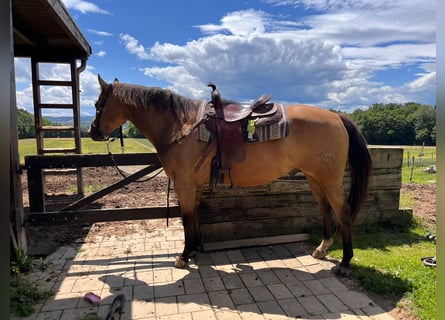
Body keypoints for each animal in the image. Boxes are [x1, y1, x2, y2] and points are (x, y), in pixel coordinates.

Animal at [87, 74, 372, 276]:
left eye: (98, 104)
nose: (92, 131)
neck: (182, 126)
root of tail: (337, 117)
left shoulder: (184, 185)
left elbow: (186, 218)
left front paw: (184, 255)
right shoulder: (191, 186)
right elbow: (194, 217)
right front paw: (195, 251)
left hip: (330, 180)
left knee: (343, 212)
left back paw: (345, 262)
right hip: (315, 179)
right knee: (325, 209)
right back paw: (322, 249)